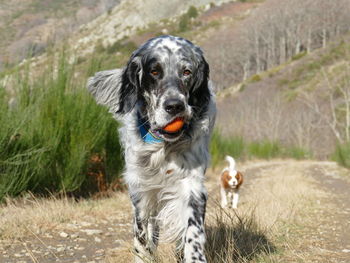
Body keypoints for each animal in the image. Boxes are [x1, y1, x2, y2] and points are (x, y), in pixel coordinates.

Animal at [87, 35, 216, 263]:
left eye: (187, 71)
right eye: (154, 71)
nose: (174, 106)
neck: (163, 145)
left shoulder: (191, 185)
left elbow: (192, 232)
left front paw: (193, 255)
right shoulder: (141, 190)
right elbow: (141, 235)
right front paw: (143, 255)